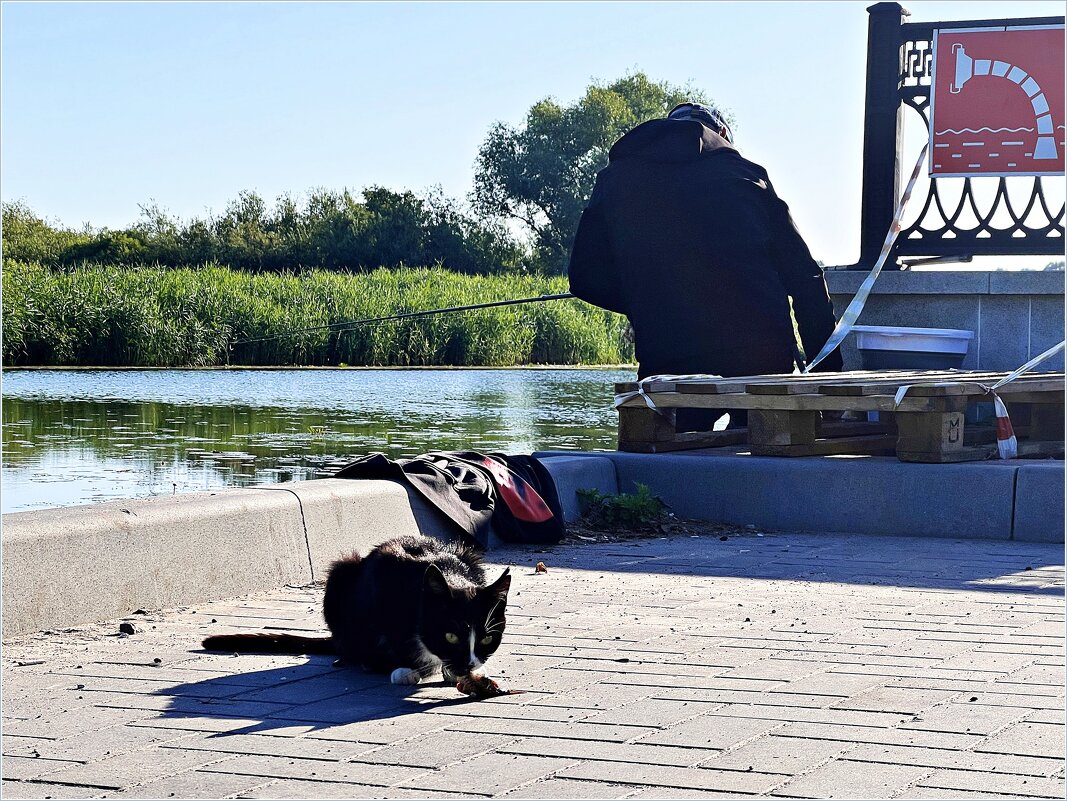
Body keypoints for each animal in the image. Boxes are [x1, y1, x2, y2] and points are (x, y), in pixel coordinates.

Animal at [205, 535, 514, 686]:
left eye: (487, 639)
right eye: (450, 636)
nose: (469, 664)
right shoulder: (380, 586)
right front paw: (408, 669)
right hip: (341, 573)